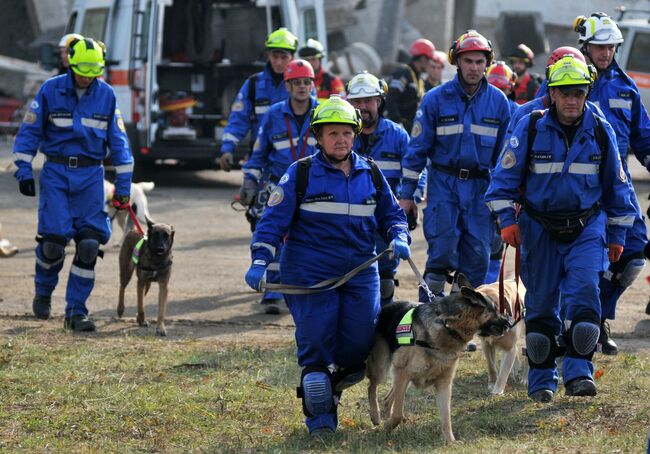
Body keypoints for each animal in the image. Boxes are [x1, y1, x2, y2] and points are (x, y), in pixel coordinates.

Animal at [368, 274, 508, 444]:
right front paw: (387, 426)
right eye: (495, 309)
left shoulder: (443, 383)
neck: (447, 326)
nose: (509, 323)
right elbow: (398, 414)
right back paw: (376, 416)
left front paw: (450, 442)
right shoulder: (403, 373)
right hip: (383, 368)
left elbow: (446, 417)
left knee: (388, 398)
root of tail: (384, 308)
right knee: (372, 387)